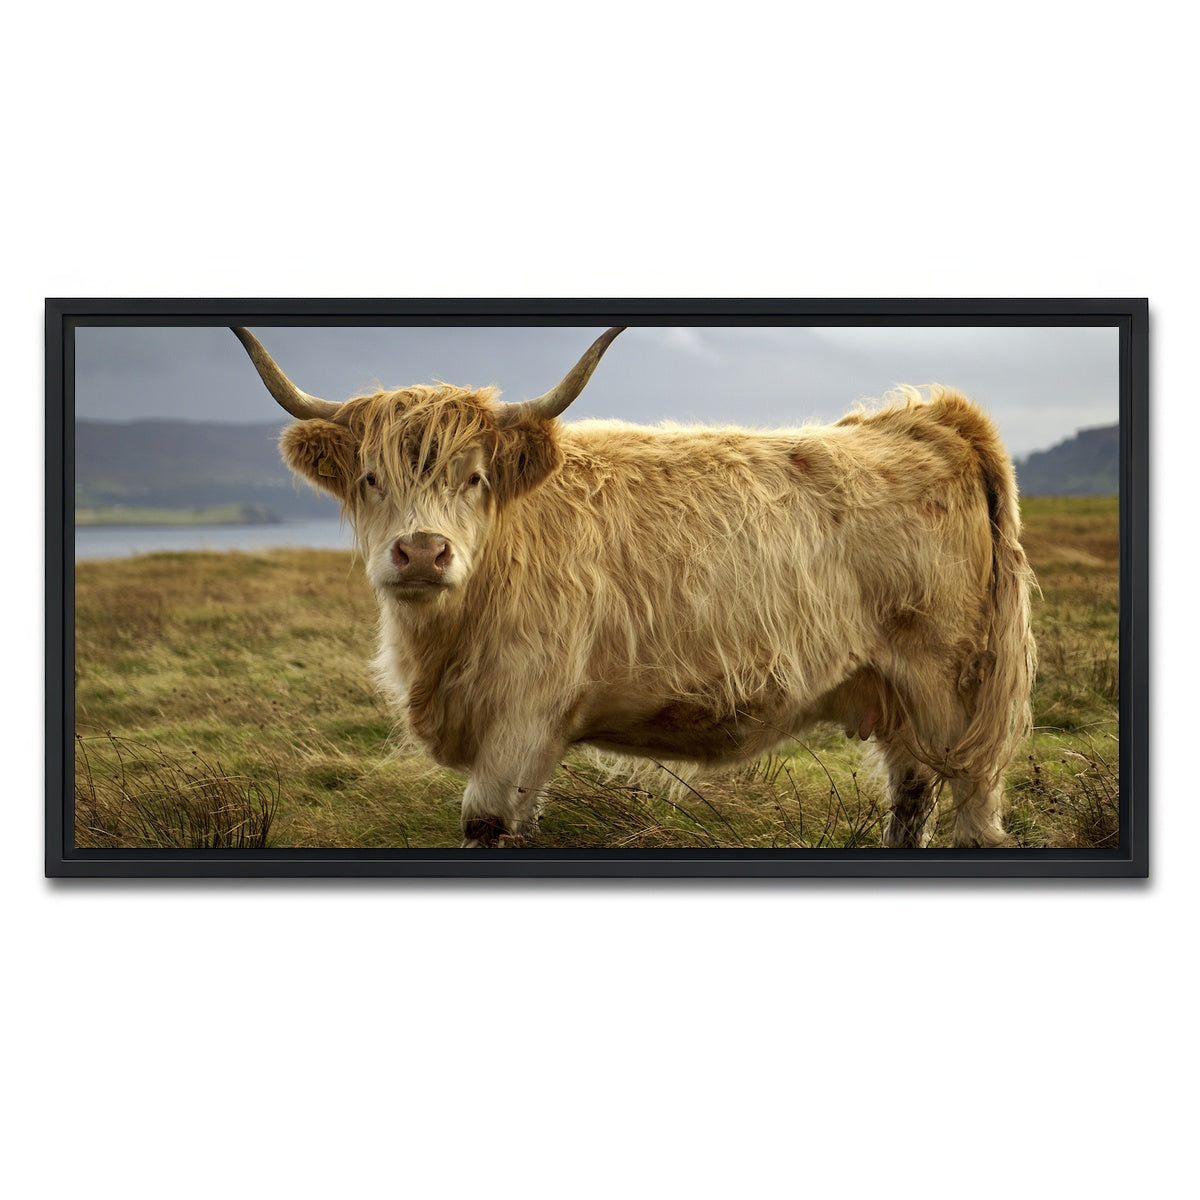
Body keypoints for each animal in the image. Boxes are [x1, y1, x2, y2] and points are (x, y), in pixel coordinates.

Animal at [232, 326, 1036, 849]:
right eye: (371, 478)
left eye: (476, 478)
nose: (424, 553)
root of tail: (927, 417)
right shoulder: (534, 739)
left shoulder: (519, 717)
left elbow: (485, 825)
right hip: (895, 691)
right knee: (911, 795)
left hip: (952, 687)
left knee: (972, 800)